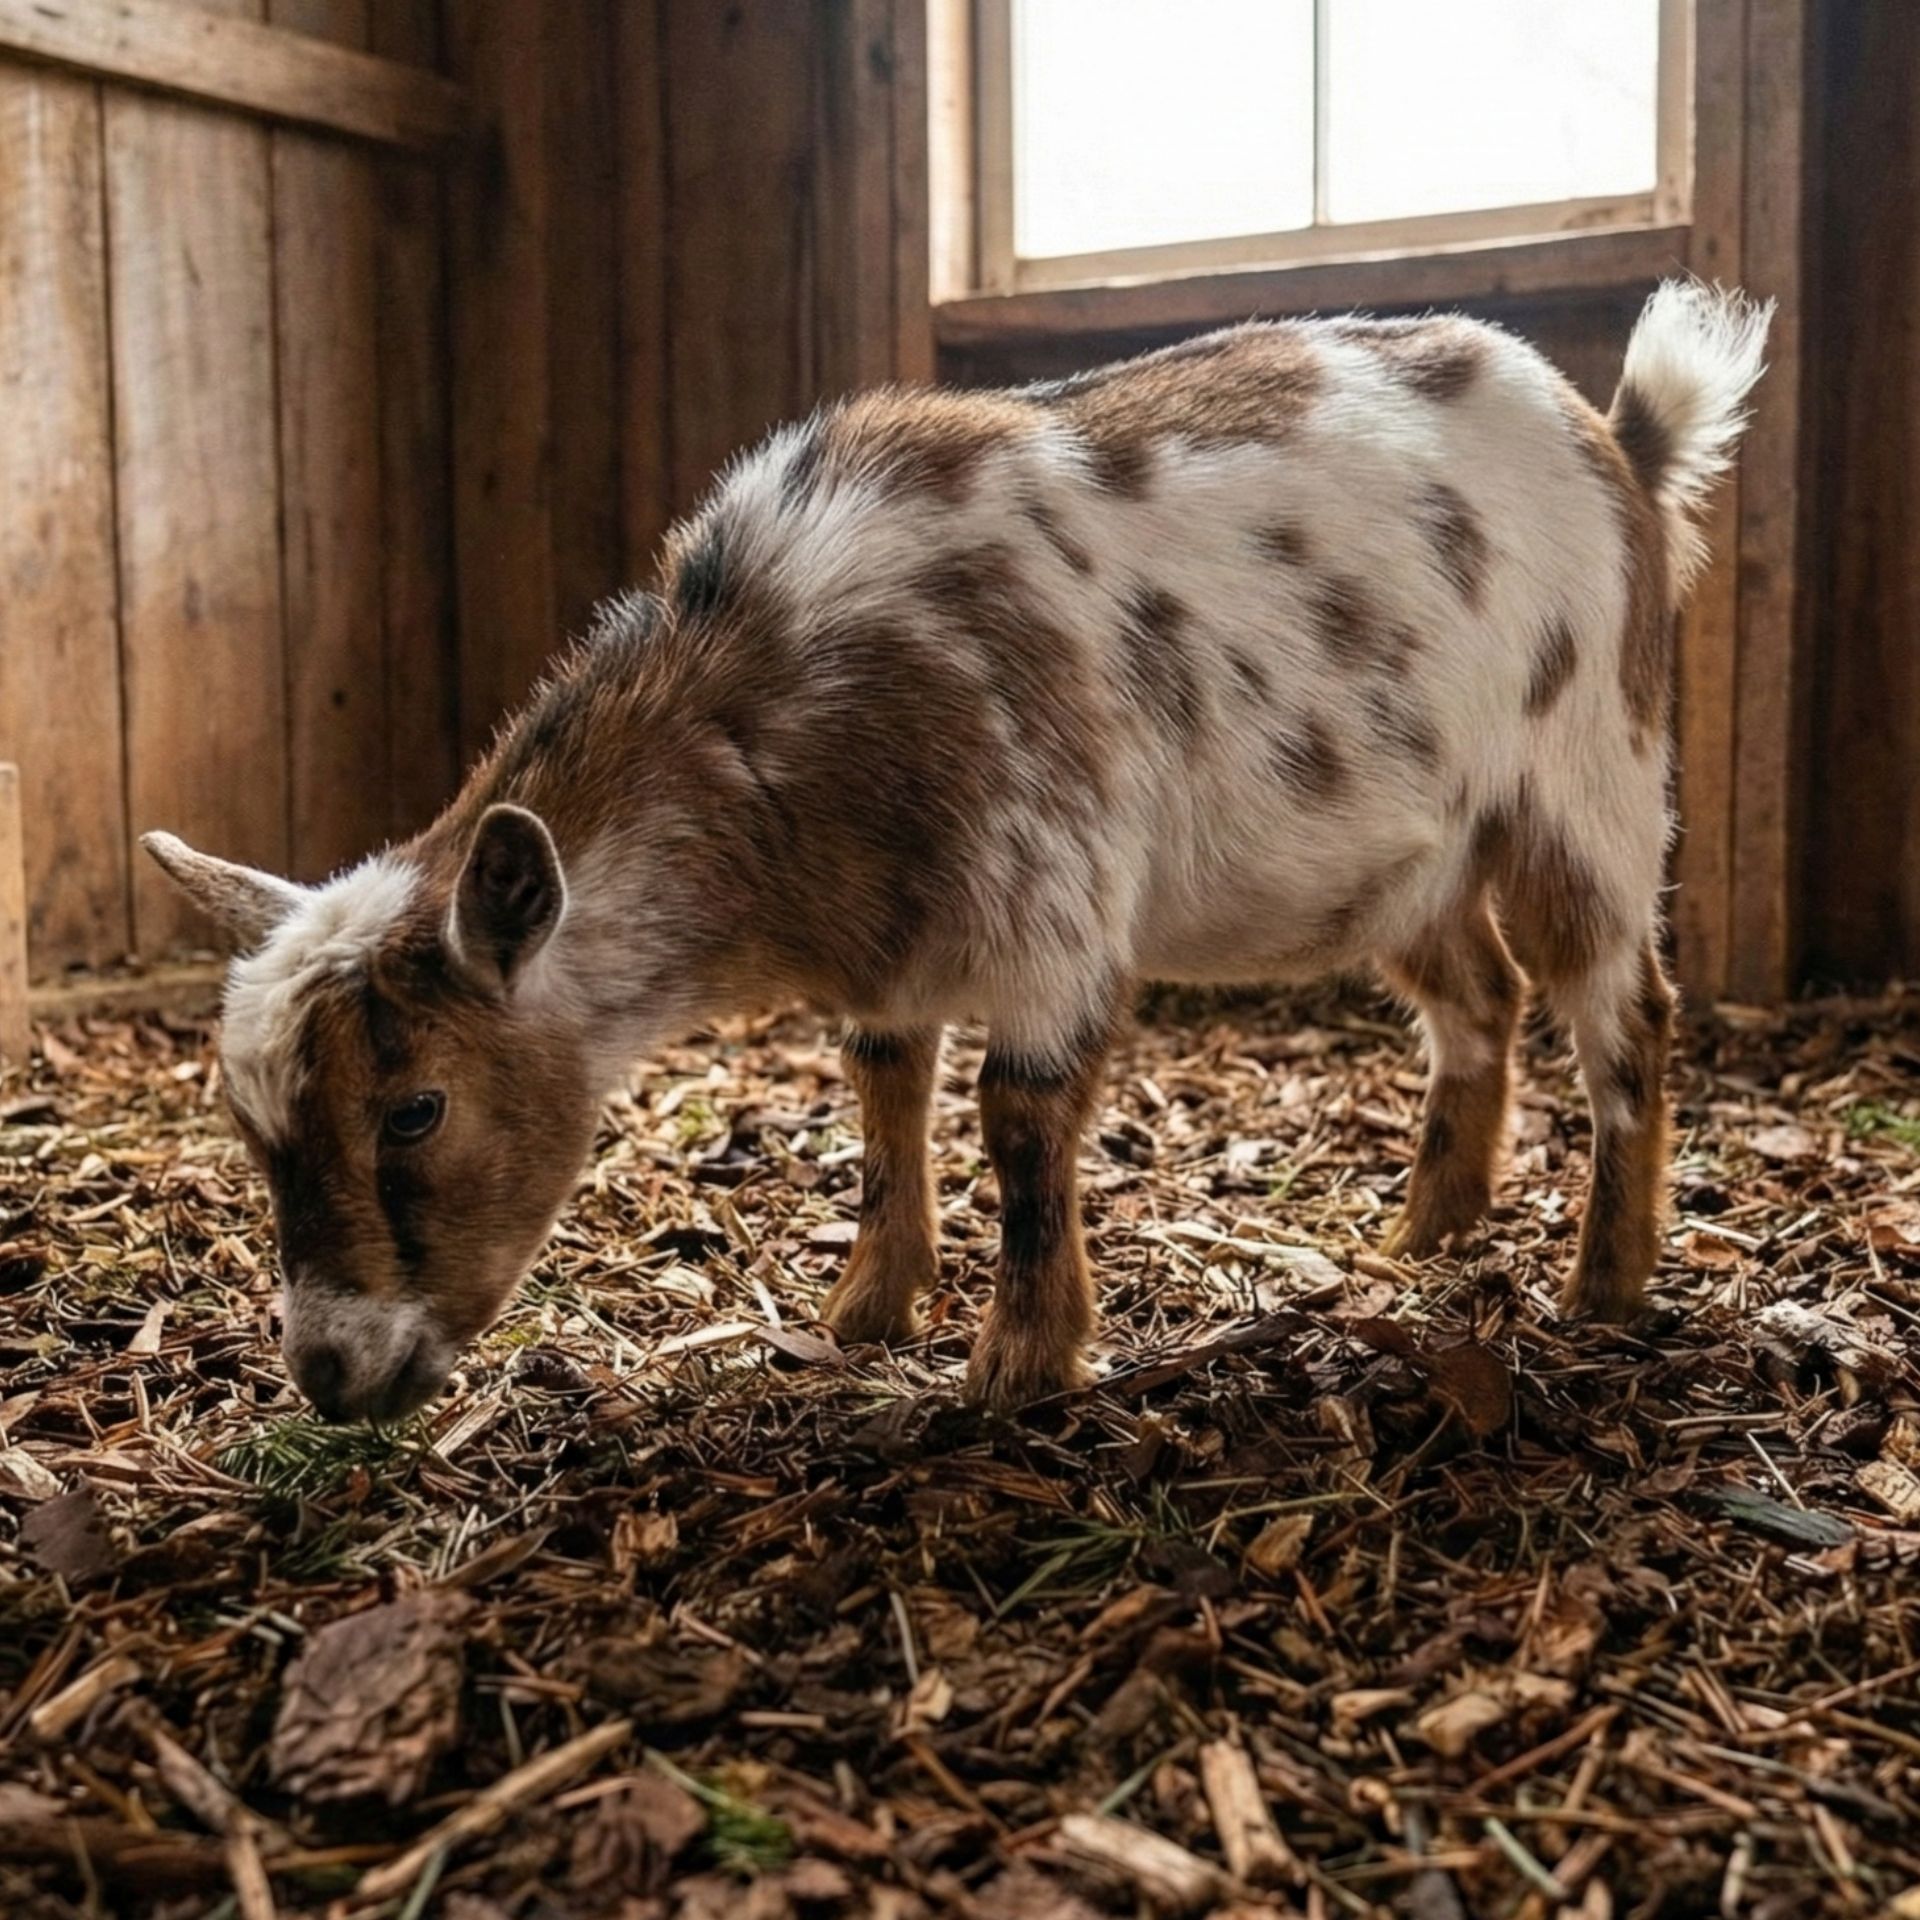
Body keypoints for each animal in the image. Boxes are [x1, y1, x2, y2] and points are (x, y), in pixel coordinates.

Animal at [147, 282, 1770, 1422]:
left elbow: (1020, 1114)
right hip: (1413, 852)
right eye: (247, 1124)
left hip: (1588, 782)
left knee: (1626, 1014)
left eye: (415, 1109)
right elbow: (884, 1093)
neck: (786, 702)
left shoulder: (1052, 901)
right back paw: (1428, 1232)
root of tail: (1621, 442)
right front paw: (868, 1311)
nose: (329, 1376)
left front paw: (1019, 1368)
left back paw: (1606, 1285)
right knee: (1480, 998)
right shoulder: (898, 940)